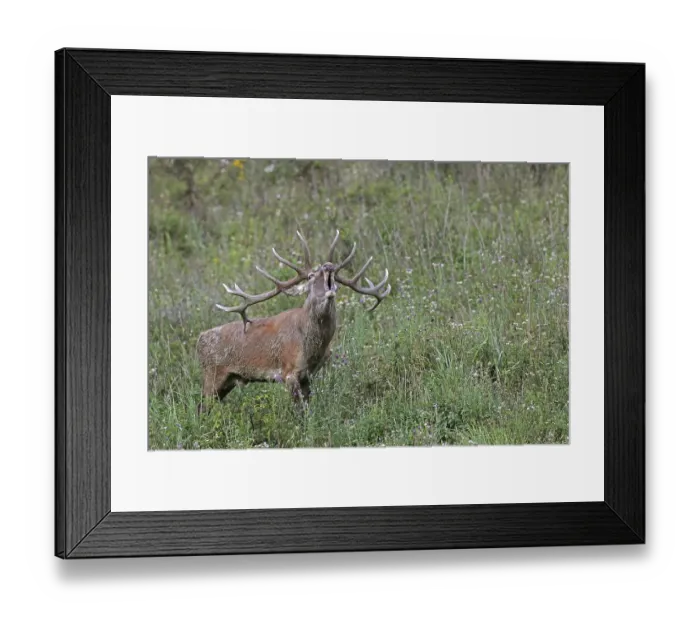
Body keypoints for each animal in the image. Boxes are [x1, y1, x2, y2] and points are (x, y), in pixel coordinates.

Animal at [196, 230, 390, 414]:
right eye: (311, 276)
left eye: (334, 276)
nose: (329, 266)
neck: (311, 346)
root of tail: (199, 340)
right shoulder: (289, 372)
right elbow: (299, 412)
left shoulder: (308, 375)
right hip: (212, 375)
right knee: (200, 407)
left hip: (227, 381)